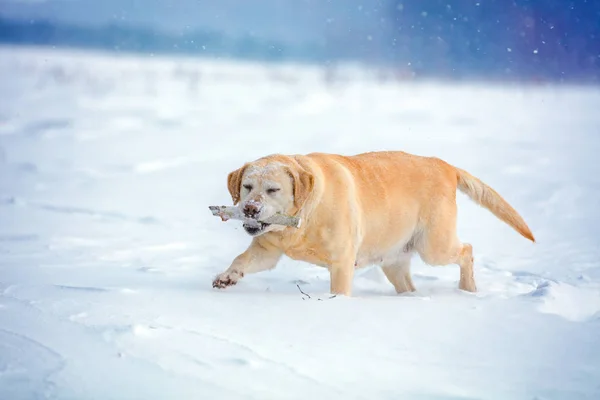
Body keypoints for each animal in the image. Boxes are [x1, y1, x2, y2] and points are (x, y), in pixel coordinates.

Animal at [211, 152, 536, 296]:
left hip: (434, 246)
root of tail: (445, 164)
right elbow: (242, 259)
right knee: (409, 286)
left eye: (273, 190)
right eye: (247, 186)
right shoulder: (268, 249)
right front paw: (227, 277)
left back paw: (467, 289)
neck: (301, 221)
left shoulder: (342, 261)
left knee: (467, 250)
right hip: (394, 260)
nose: (250, 209)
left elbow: (340, 290)